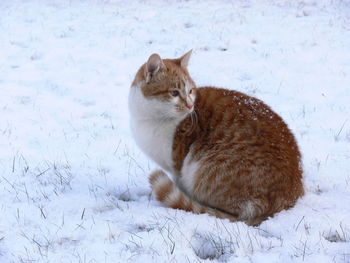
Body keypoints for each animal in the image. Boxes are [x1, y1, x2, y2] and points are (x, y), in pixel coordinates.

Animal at [129, 50, 304, 226]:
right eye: (174, 93)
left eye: (190, 91)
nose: (190, 105)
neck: (149, 118)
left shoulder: (177, 168)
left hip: (201, 168)